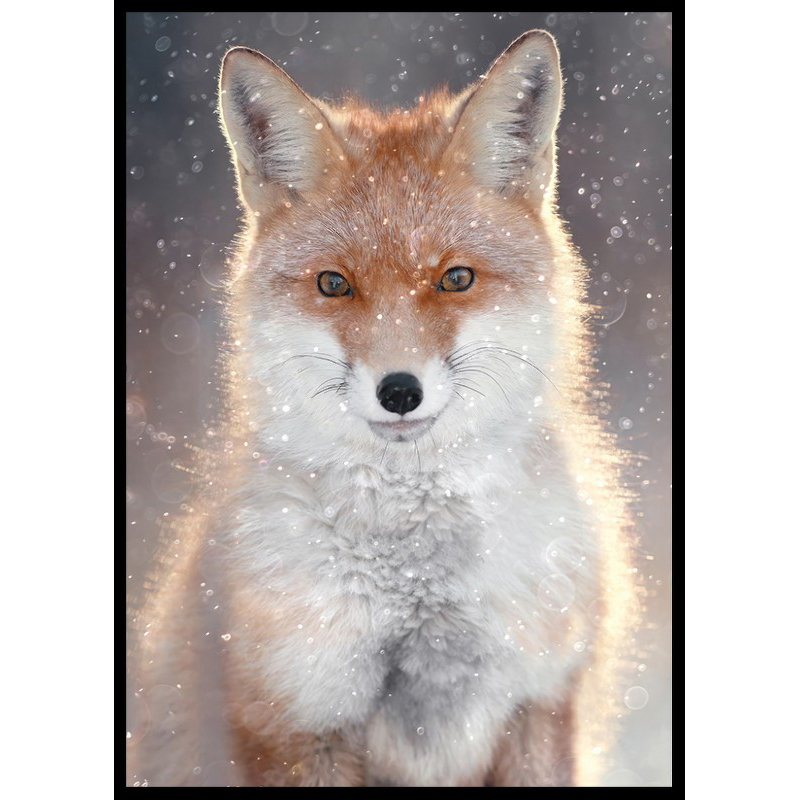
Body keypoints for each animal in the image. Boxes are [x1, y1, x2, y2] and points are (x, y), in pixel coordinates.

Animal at [127, 29, 642, 787]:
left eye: (455, 278)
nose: (399, 391)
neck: (418, 585)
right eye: (334, 284)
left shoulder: (540, 701)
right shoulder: (297, 714)